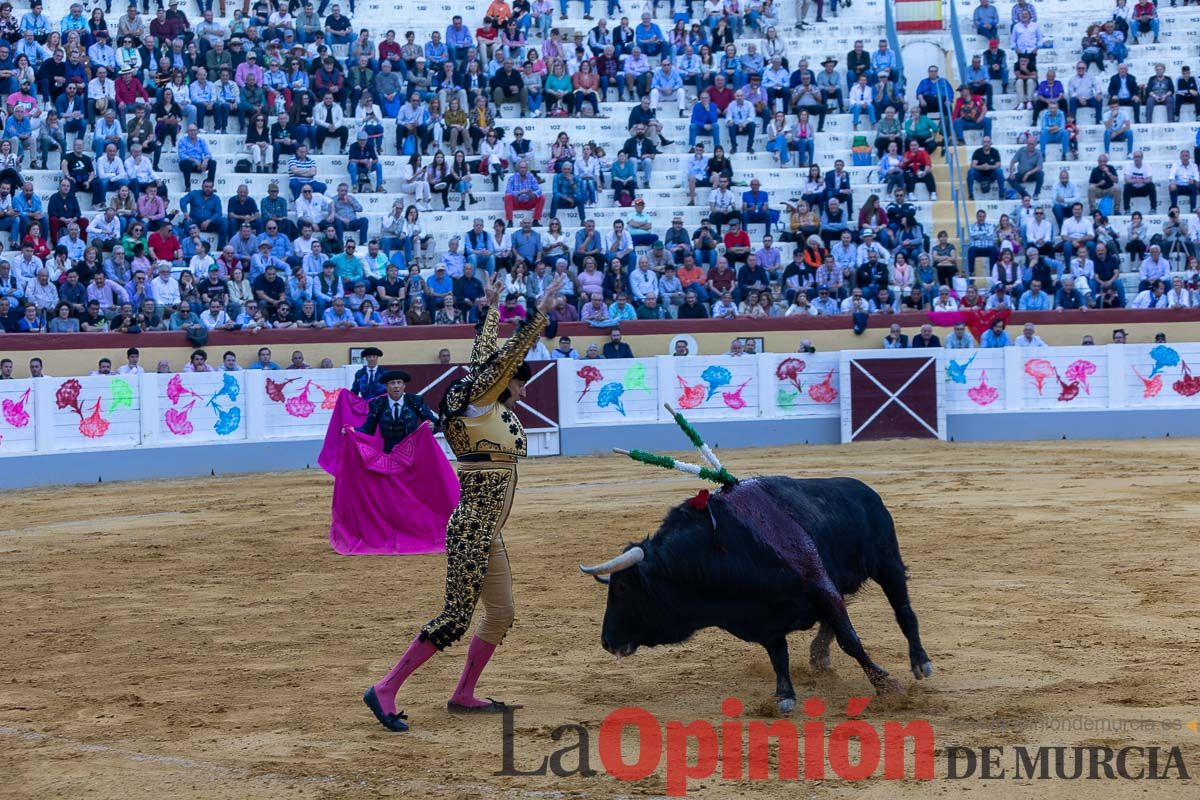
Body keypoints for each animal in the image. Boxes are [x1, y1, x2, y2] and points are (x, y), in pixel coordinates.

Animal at [580, 474, 936, 714]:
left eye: (623, 588)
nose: (607, 642)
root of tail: (867, 491)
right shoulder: (763, 615)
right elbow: (778, 654)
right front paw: (785, 695)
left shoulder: (818, 585)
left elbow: (851, 640)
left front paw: (886, 686)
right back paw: (819, 655)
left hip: (887, 565)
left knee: (904, 612)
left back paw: (921, 662)